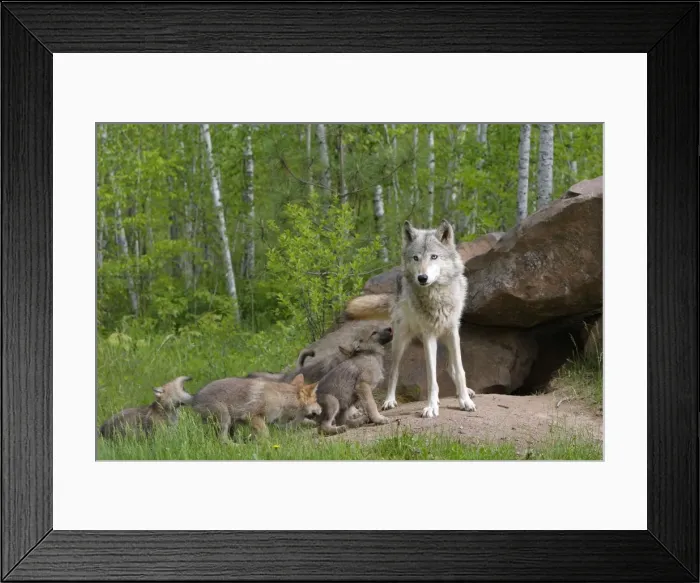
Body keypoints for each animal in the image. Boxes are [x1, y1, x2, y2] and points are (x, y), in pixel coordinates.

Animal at [190, 374, 321, 442]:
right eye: (316, 400)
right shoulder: (253, 416)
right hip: (225, 418)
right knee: (222, 439)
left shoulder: (269, 421)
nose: (321, 409)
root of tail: (194, 398)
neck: (282, 399)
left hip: (229, 423)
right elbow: (266, 434)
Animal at [345, 219, 476, 418]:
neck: (436, 297)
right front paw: (431, 407)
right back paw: (389, 401)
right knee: (394, 372)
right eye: (416, 258)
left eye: (434, 257)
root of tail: (396, 294)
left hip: (444, 340)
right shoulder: (429, 336)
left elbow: (460, 370)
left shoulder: (453, 332)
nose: (422, 277)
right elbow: (431, 377)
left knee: (451, 367)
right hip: (400, 343)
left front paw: (465, 400)